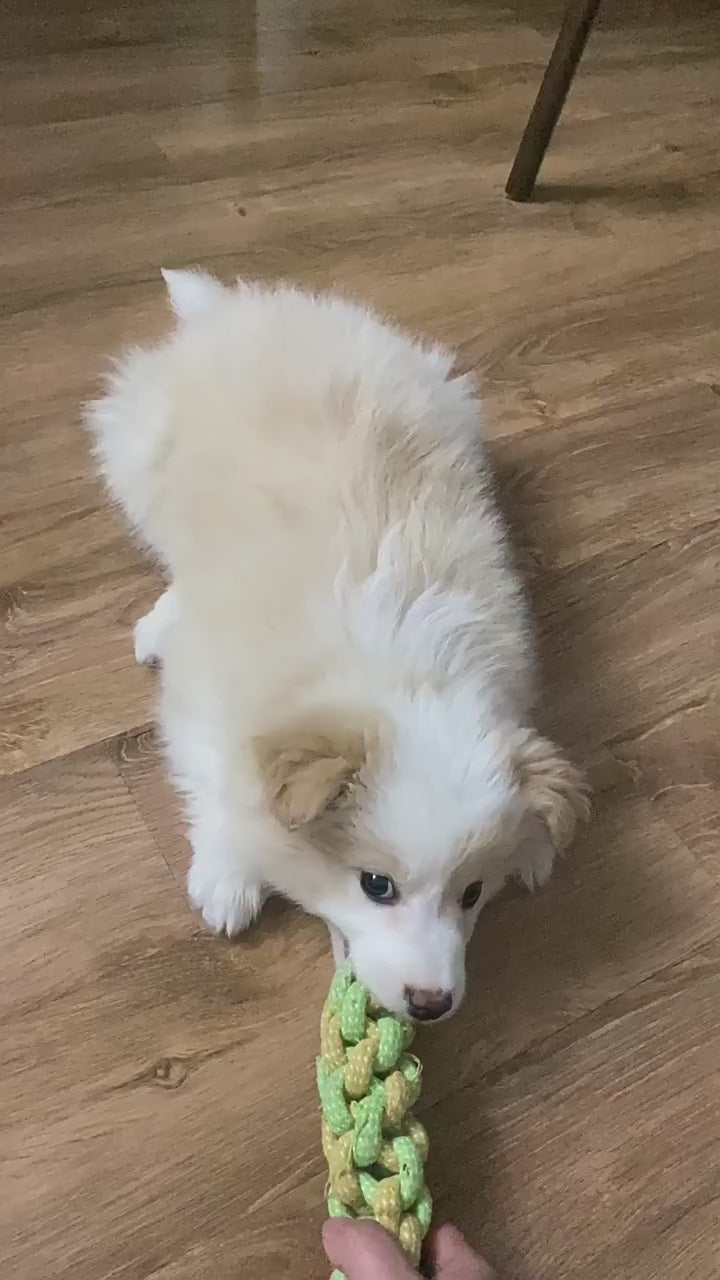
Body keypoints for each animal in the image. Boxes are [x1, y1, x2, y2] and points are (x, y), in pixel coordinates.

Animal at [86, 270, 587, 1021]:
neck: (400, 671)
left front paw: (532, 848)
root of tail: (238, 308)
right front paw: (227, 876)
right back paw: (159, 620)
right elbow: (217, 781)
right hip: (139, 462)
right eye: (376, 886)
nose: (433, 1003)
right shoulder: (207, 699)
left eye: (472, 894)